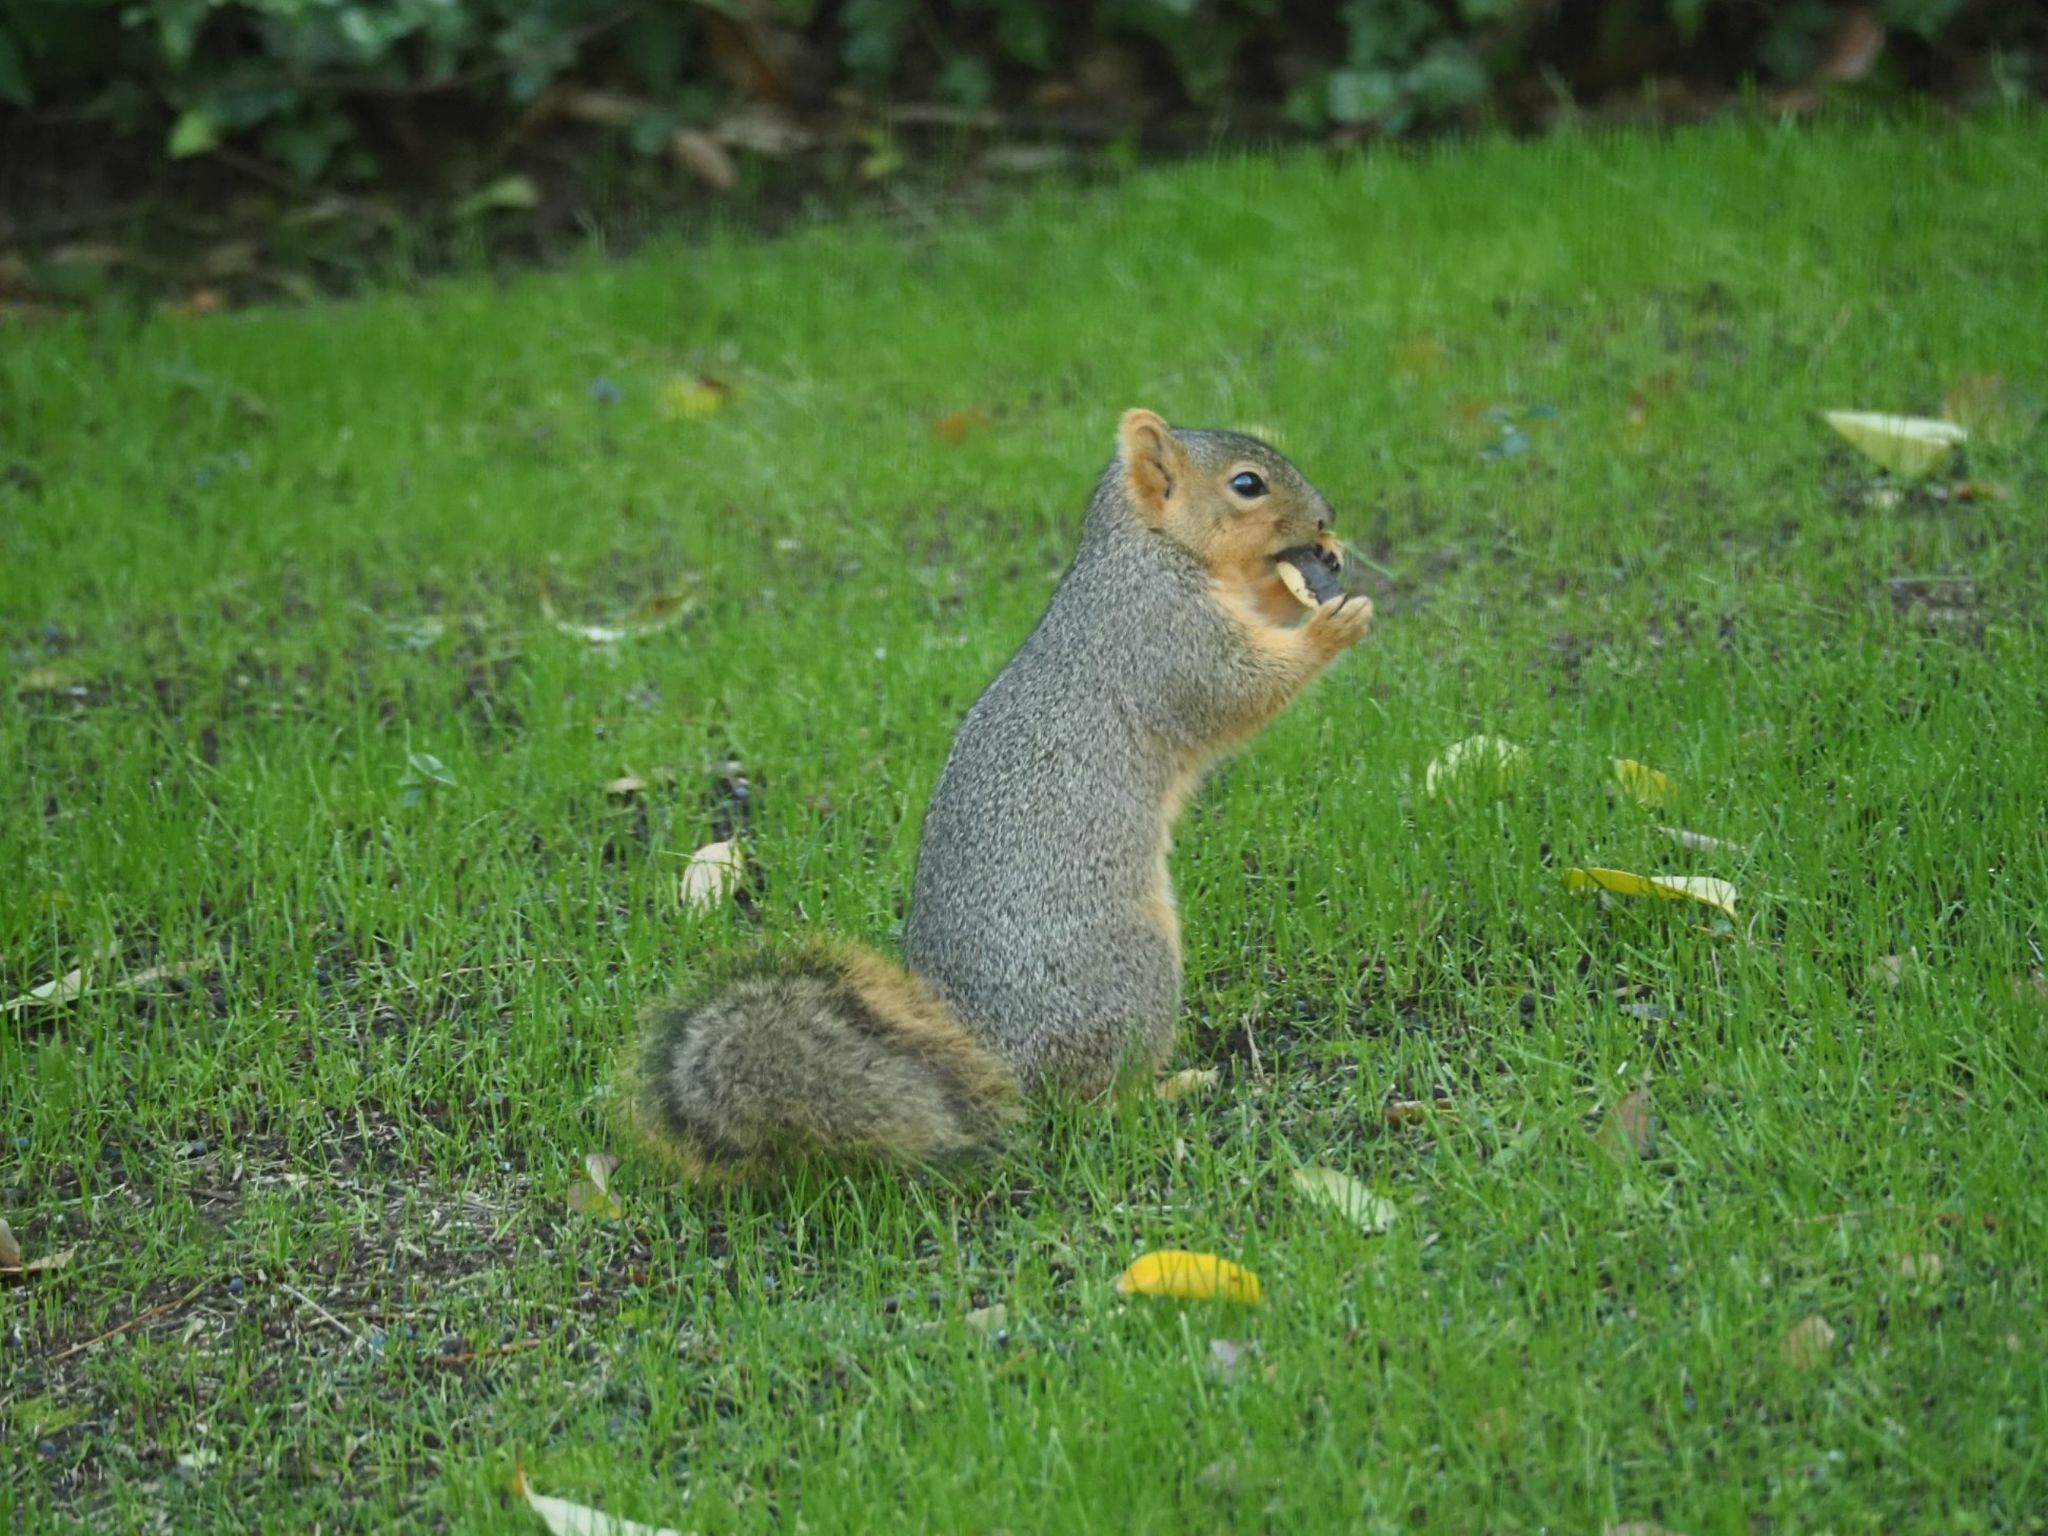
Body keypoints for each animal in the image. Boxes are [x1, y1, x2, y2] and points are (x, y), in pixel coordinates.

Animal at [626, 409, 1372, 1180]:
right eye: (1247, 484)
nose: (1326, 519)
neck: (1152, 549)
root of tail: (999, 1067)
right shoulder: (1164, 636)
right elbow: (1236, 690)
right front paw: (1331, 625)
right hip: (1131, 968)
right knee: (1089, 1102)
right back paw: (1170, 1088)